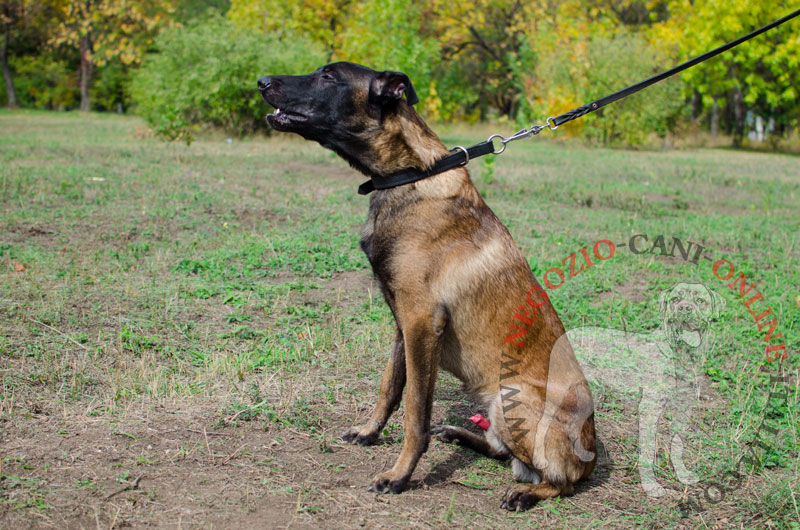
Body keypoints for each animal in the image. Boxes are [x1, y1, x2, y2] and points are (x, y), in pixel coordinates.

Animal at [256, 60, 592, 508]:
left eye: (329, 76)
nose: (262, 82)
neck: (409, 177)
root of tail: (592, 454)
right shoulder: (403, 324)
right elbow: (389, 387)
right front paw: (369, 432)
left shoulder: (421, 322)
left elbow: (415, 411)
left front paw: (398, 475)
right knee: (500, 450)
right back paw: (459, 435)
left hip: (513, 397)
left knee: (559, 480)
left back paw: (525, 491)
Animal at [568, 280, 724, 496]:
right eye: (675, 299)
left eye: (700, 300)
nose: (684, 309)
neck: (681, 355)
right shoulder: (650, 408)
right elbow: (648, 451)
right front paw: (651, 486)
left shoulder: (684, 408)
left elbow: (678, 444)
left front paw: (682, 475)